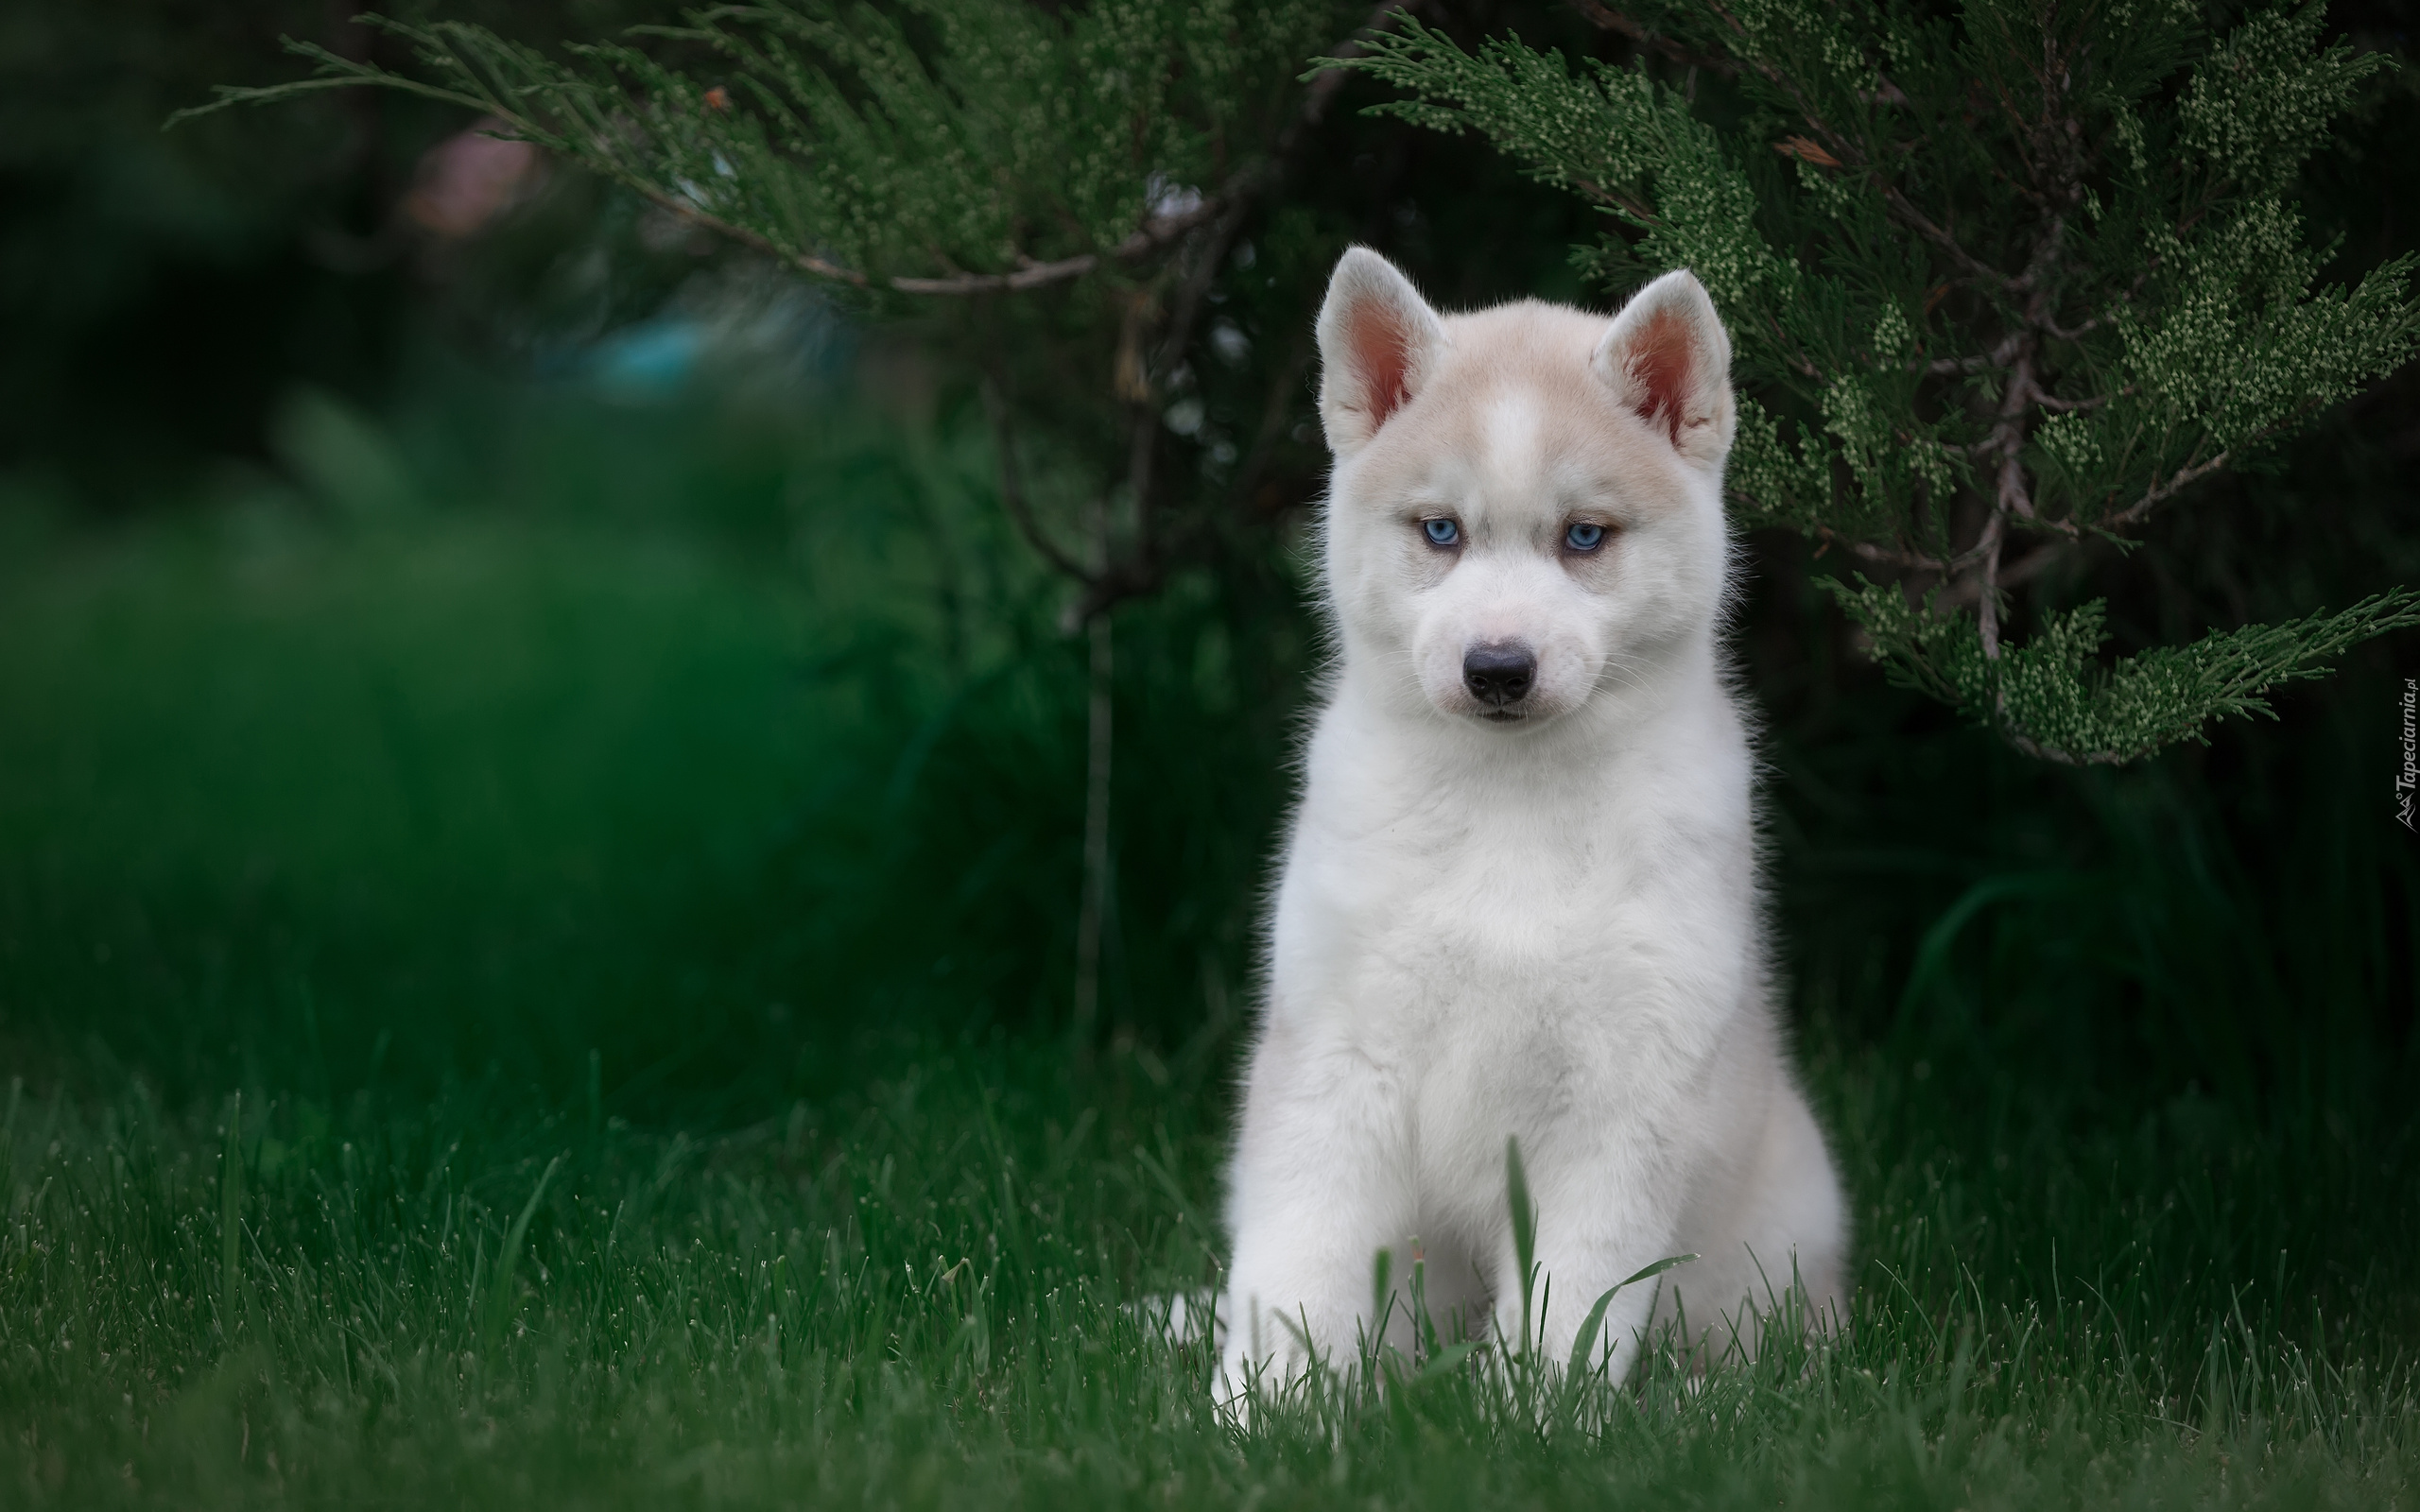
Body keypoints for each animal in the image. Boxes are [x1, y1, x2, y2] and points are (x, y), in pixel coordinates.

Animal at [1219, 249, 1839, 1402]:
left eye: (1583, 536)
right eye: (1441, 531)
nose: (1497, 667)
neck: (1510, 807)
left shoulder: (1623, 1098)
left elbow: (1573, 1306)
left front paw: (1536, 1422)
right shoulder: (1334, 1060)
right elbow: (1297, 1268)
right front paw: (1258, 1413)